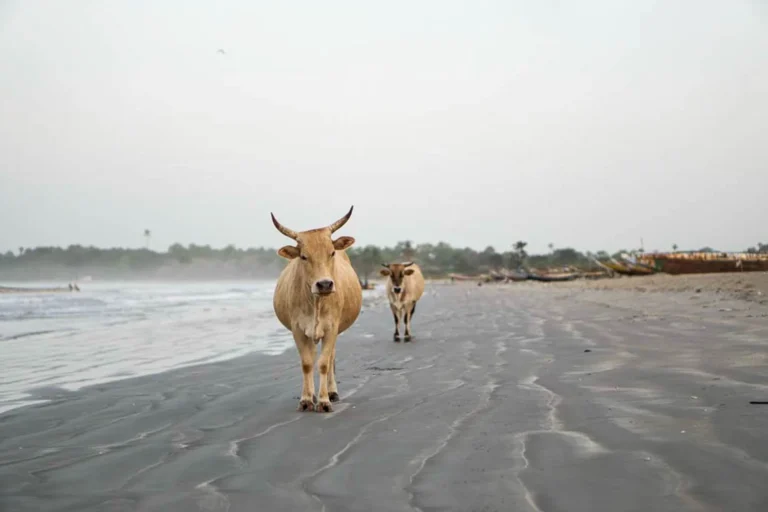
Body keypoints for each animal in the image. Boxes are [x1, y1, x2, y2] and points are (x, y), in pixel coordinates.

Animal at [271, 206, 363, 413]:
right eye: (304, 256)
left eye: (332, 253)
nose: (325, 284)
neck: (316, 301)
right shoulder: (298, 329)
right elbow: (307, 363)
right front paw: (306, 399)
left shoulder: (332, 329)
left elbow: (323, 364)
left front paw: (324, 401)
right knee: (312, 356)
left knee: (330, 359)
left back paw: (332, 392)